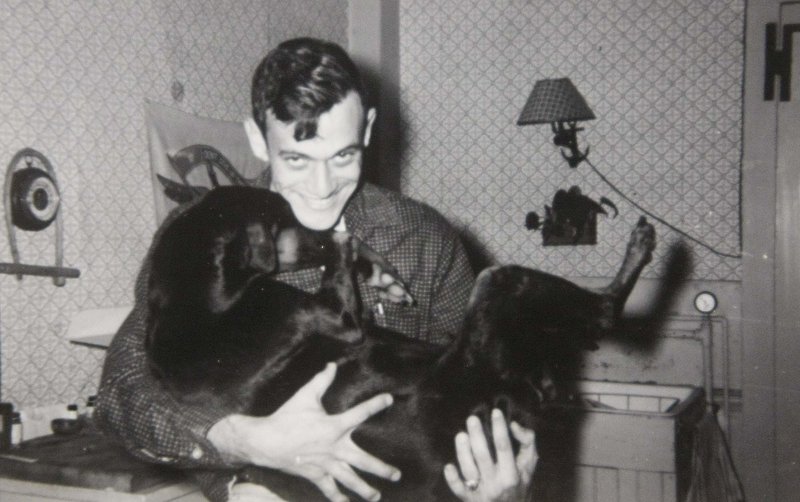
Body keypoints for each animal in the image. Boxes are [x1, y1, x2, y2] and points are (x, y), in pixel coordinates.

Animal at [145, 186, 656, 500]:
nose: (324, 224)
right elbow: (342, 281)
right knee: (599, 308)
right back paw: (637, 250)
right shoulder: (335, 317)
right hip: (495, 293)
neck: (195, 298)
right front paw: (349, 247)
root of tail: (508, 399)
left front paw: (377, 270)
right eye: (286, 217)